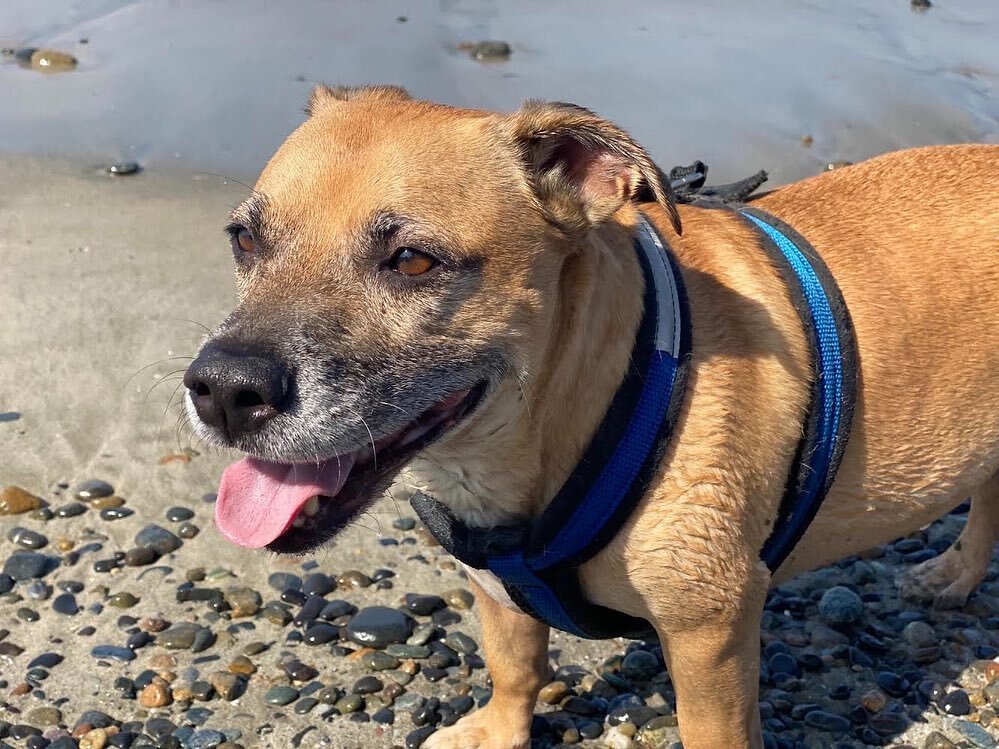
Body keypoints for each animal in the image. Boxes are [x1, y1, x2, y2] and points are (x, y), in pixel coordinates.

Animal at [184, 84, 999, 744]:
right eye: (243, 238)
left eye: (413, 260)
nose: (223, 389)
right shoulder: (493, 581)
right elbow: (514, 662)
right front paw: (498, 731)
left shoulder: (710, 635)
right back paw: (952, 576)